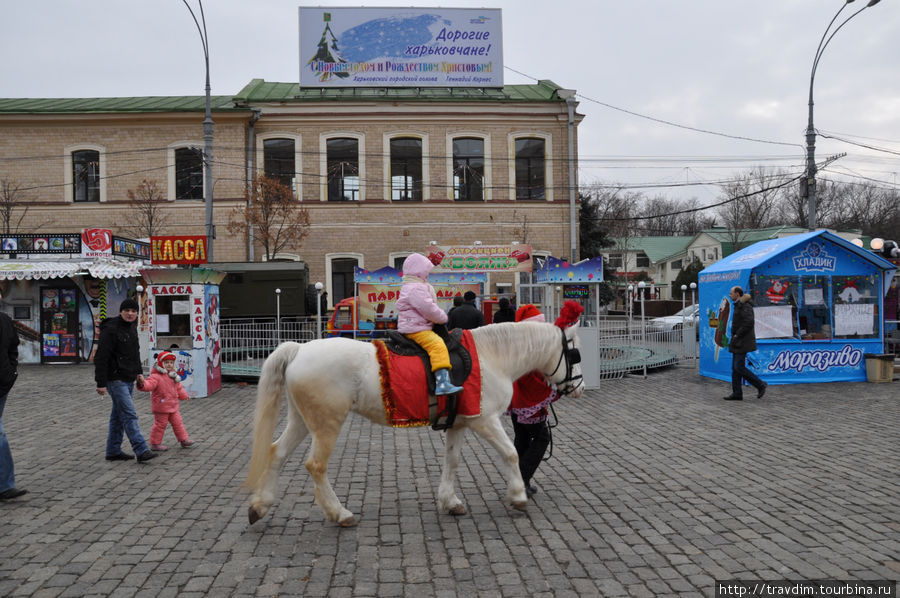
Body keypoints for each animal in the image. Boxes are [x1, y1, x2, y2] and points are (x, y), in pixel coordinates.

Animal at [244, 324, 584, 528]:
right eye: (574, 353)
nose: (579, 386)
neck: (491, 358)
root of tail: (299, 349)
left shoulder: (458, 424)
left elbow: (451, 461)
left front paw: (450, 501)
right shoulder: (484, 421)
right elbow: (512, 454)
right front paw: (518, 496)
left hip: (302, 421)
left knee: (276, 453)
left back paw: (260, 505)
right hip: (327, 424)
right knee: (315, 466)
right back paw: (339, 513)